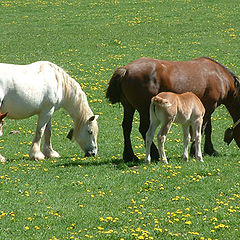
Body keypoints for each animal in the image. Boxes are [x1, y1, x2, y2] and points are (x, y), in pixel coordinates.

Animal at [106, 57, 240, 162]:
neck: (220, 77)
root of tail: (126, 69)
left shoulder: (205, 110)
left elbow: (206, 130)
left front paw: (209, 150)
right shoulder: (209, 108)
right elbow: (202, 130)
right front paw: (196, 151)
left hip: (129, 107)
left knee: (126, 127)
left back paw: (130, 156)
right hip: (144, 111)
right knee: (144, 130)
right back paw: (155, 154)